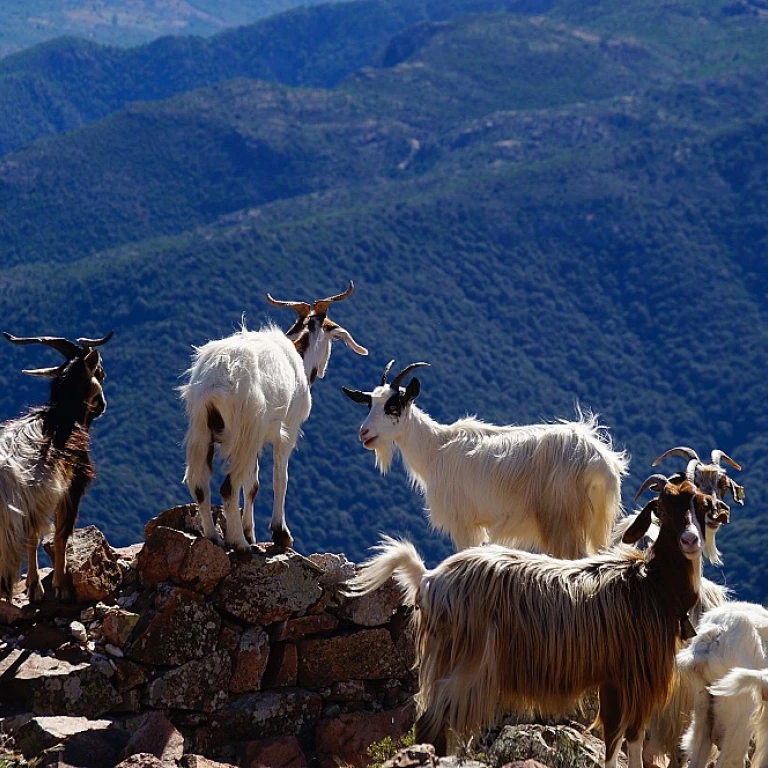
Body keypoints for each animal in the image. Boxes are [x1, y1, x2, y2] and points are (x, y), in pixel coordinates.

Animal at [0, 330, 113, 600]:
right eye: (100, 372)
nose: (102, 405)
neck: (62, 419)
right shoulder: (70, 487)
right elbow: (61, 534)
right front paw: (61, 586)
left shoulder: (34, 505)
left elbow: (34, 538)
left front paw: (34, 587)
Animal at [183, 282, 368, 552]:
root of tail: (217, 378)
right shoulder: (286, 431)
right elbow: (280, 479)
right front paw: (280, 534)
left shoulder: (257, 439)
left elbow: (253, 484)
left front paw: (250, 532)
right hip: (245, 431)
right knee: (228, 486)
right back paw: (239, 544)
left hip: (202, 430)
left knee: (200, 484)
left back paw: (214, 537)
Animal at [344, 360, 632, 560]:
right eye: (369, 404)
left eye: (393, 407)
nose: (364, 433)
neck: (435, 449)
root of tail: (600, 461)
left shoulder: (463, 522)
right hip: (596, 522)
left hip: (563, 518)